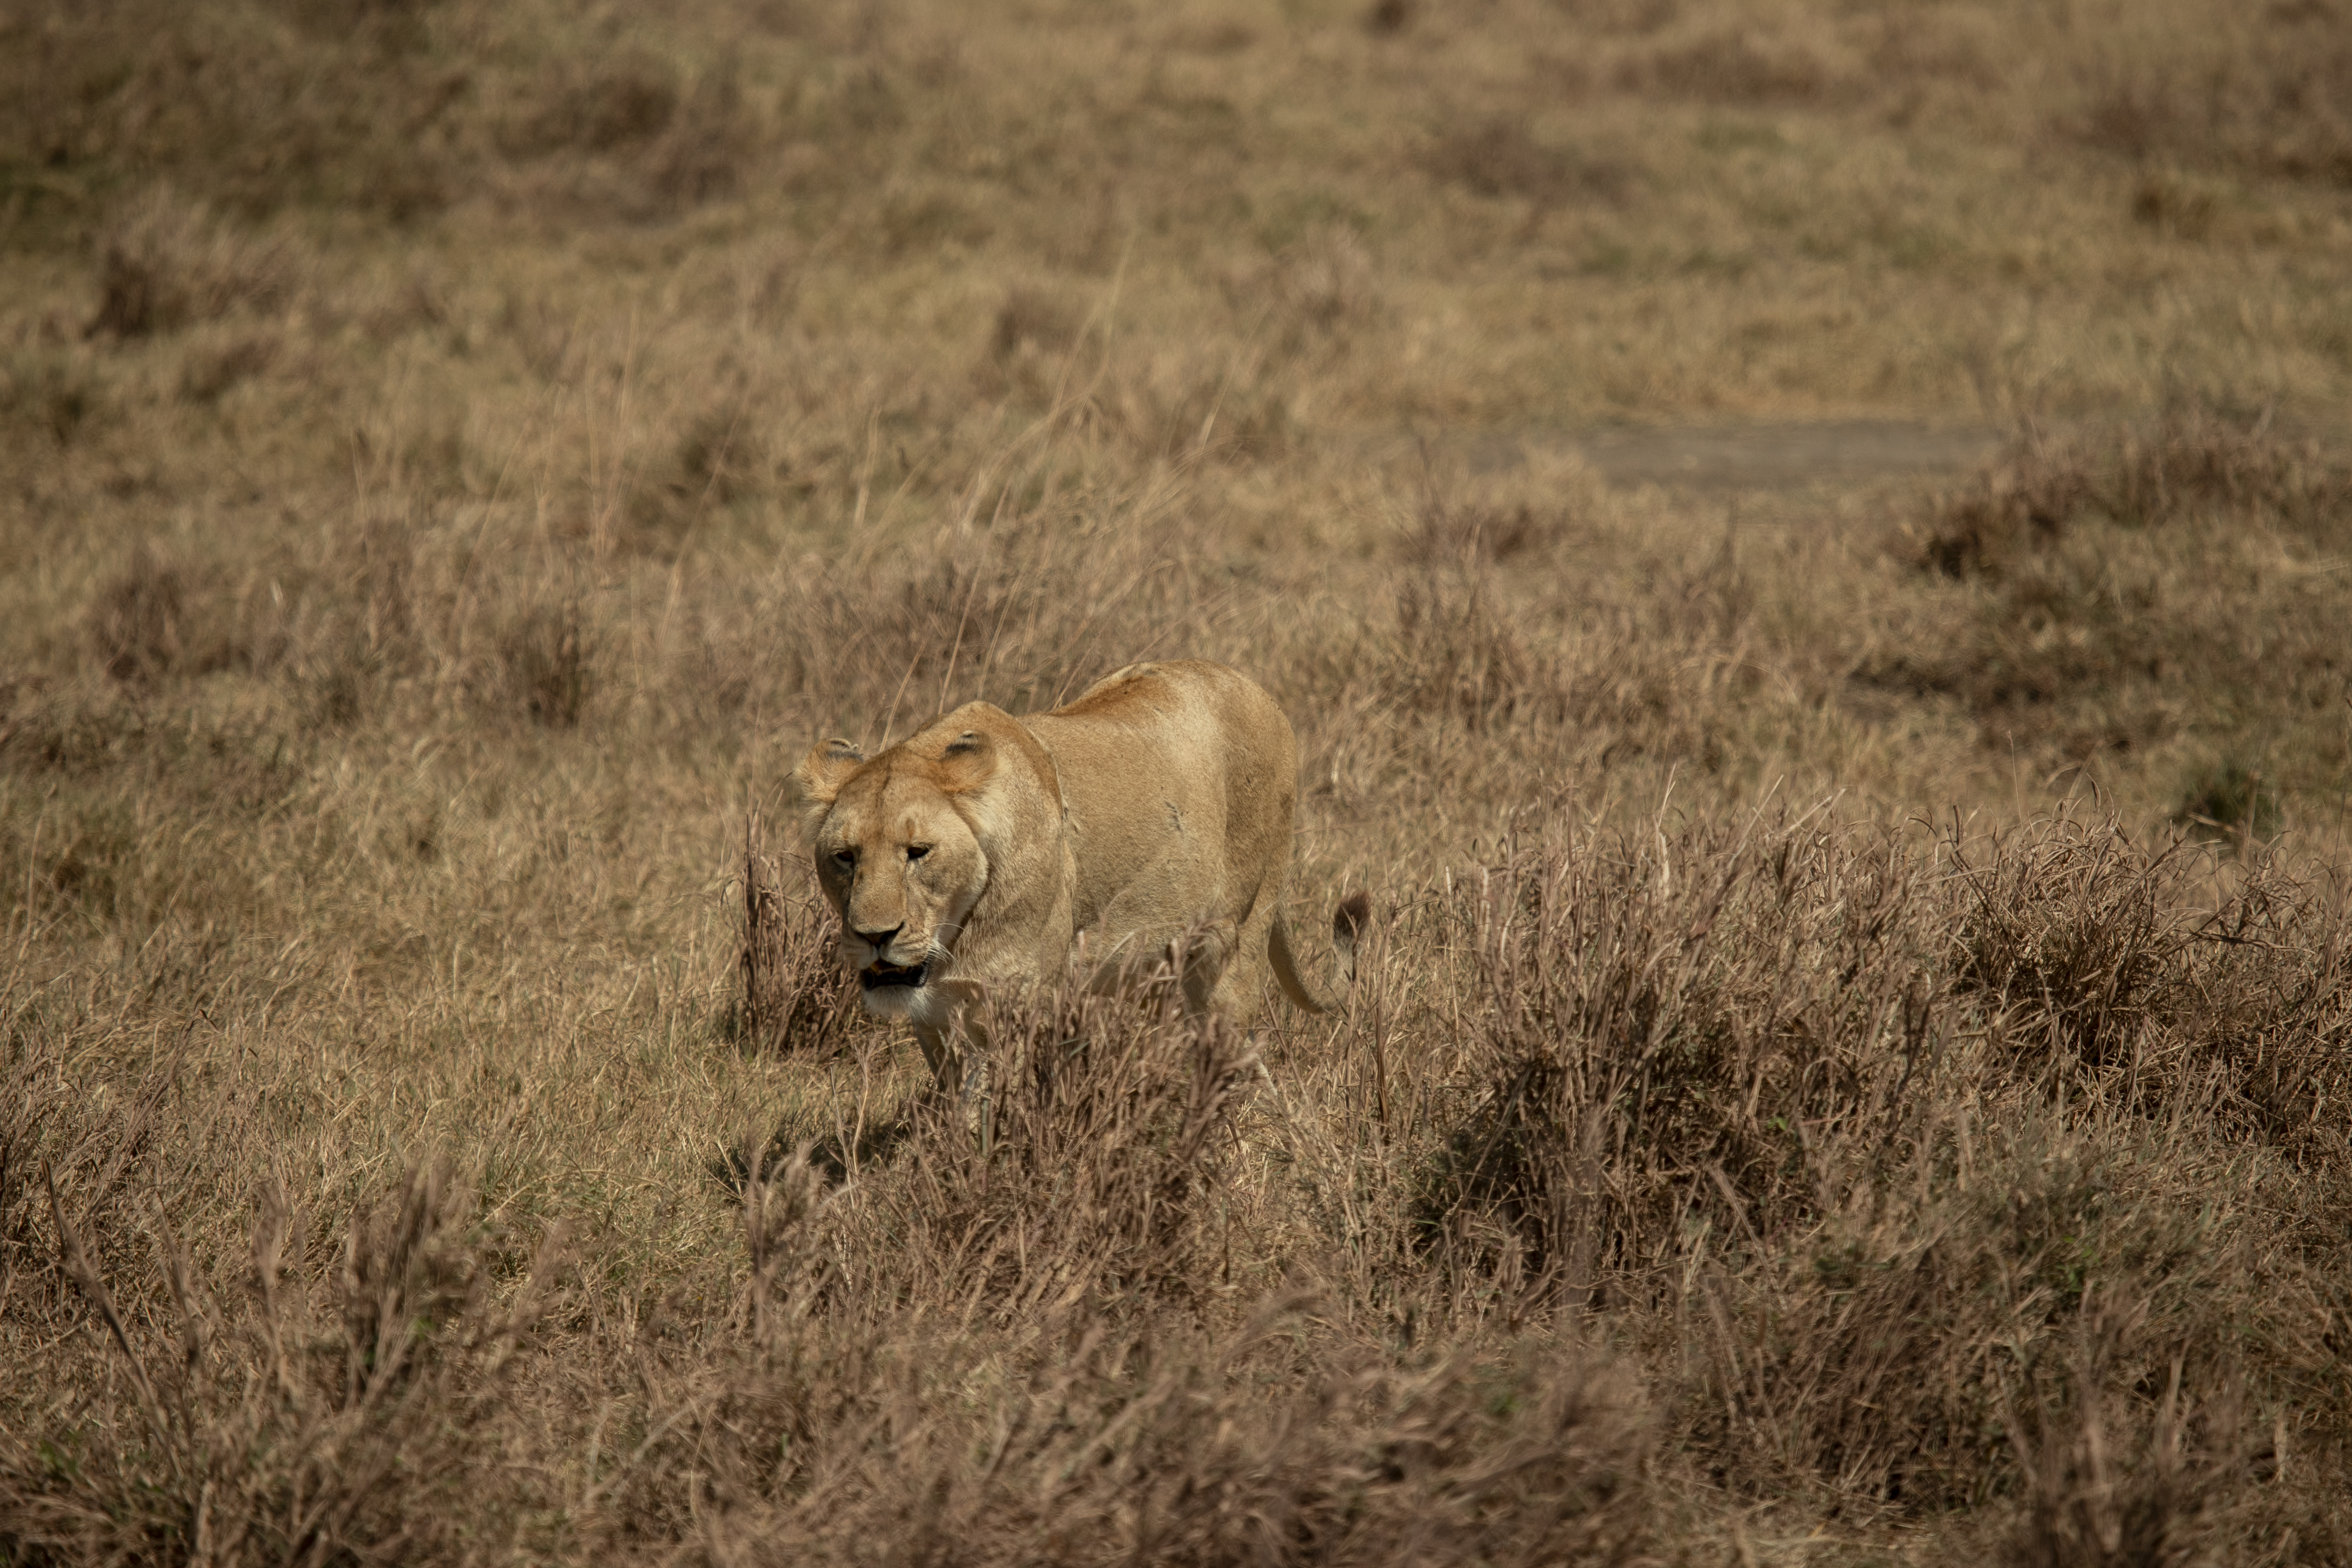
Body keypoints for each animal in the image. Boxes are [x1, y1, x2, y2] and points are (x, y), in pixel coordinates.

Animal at [783, 659, 1366, 1090]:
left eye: (918, 852)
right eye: (846, 856)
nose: (874, 936)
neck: (953, 937)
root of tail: (1258, 690)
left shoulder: (1016, 1005)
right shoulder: (934, 1018)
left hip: (1235, 939)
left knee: (1228, 1047)